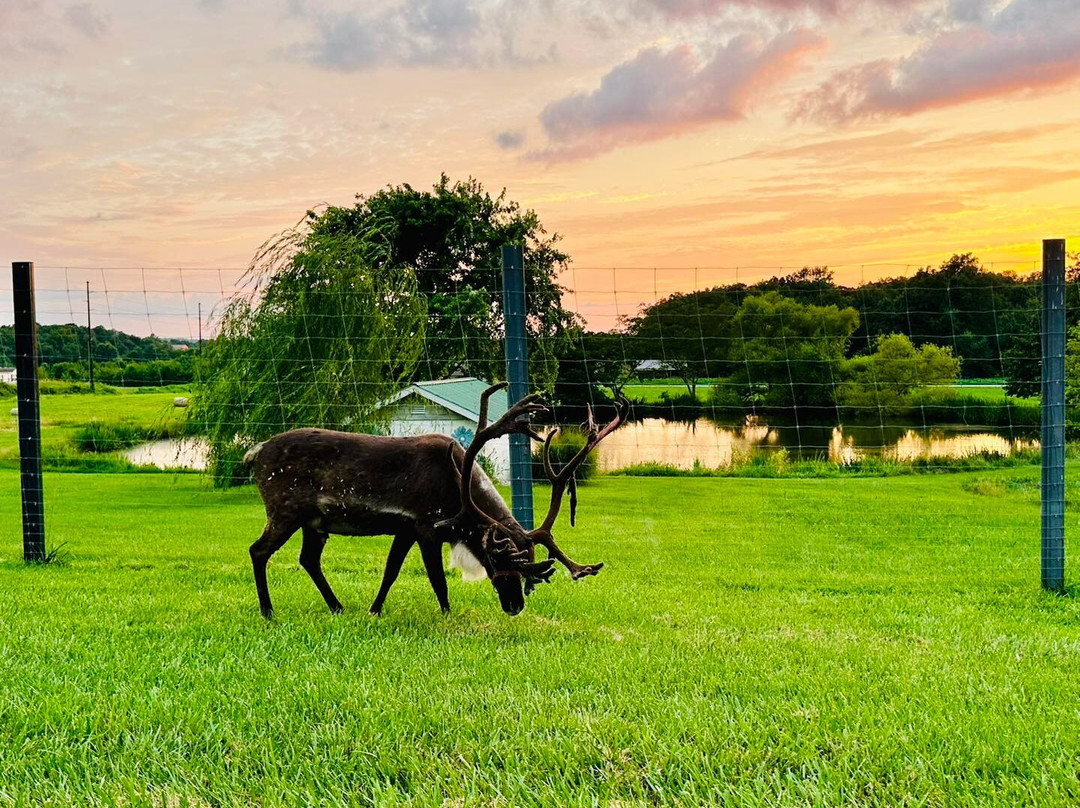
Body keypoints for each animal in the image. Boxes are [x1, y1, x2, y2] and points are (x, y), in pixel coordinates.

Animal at [243, 382, 627, 618]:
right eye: (497, 557)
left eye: (529, 561)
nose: (514, 606)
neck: (459, 496)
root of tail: (255, 452)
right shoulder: (426, 525)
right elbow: (436, 579)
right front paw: (446, 613)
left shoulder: (405, 528)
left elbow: (390, 571)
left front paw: (374, 610)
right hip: (284, 510)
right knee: (258, 550)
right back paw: (268, 611)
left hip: (315, 522)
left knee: (308, 559)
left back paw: (337, 607)